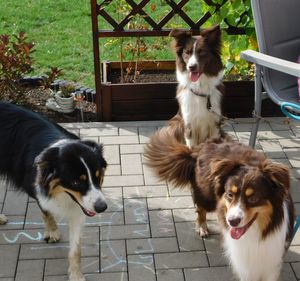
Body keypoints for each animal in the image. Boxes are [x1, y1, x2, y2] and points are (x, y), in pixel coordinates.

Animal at [0, 102, 107, 280]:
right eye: (76, 182)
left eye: (98, 177)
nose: (102, 208)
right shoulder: (38, 190)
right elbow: (46, 212)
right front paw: (52, 231)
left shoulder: (79, 210)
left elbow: (76, 249)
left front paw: (76, 274)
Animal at [144, 129, 294, 280]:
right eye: (230, 194)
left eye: (253, 198)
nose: (232, 221)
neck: (256, 232)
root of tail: (203, 146)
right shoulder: (244, 264)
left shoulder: (272, 261)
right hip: (207, 196)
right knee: (201, 209)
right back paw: (202, 227)